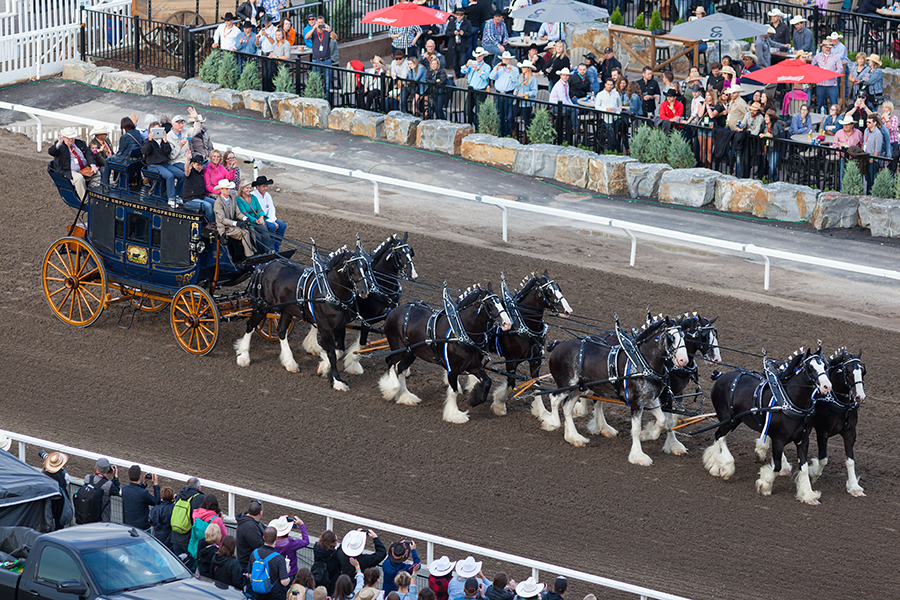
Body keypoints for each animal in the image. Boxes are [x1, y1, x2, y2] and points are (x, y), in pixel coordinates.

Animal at [236, 246, 372, 392]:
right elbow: (332, 354)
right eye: (351, 268)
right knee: (250, 325)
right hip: (262, 307)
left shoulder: (340, 326)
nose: (365, 291)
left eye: (365, 266)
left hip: (287, 310)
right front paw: (337, 381)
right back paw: (243, 356)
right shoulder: (325, 328)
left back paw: (290, 363)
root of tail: (263, 265)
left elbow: (339, 350)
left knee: (281, 331)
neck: (329, 291)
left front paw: (323, 367)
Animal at [300, 233, 416, 376]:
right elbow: (361, 343)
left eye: (411, 252)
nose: (413, 275)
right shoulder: (366, 319)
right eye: (399, 254)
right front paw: (351, 363)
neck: (379, 285)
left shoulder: (390, 317)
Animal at [376, 284, 510, 422]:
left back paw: (405, 396)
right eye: (490, 304)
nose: (507, 323)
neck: (461, 333)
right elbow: (453, 391)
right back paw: (390, 389)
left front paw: (474, 399)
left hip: (410, 353)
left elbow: (488, 381)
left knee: (401, 369)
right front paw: (454, 414)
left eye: (501, 302)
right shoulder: (452, 368)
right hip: (398, 349)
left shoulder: (473, 365)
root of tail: (393, 311)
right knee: (391, 362)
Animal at [536, 316, 688, 466]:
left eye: (683, 336)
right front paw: (638, 455)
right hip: (566, 385)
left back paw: (574, 437)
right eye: (671, 337)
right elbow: (636, 429)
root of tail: (558, 344)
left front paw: (649, 434)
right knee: (554, 398)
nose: (683, 360)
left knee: (567, 406)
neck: (642, 363)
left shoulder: (651, 399)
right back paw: (551, 422)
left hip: (579, 388)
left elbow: (663, 420)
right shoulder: (636, 402)